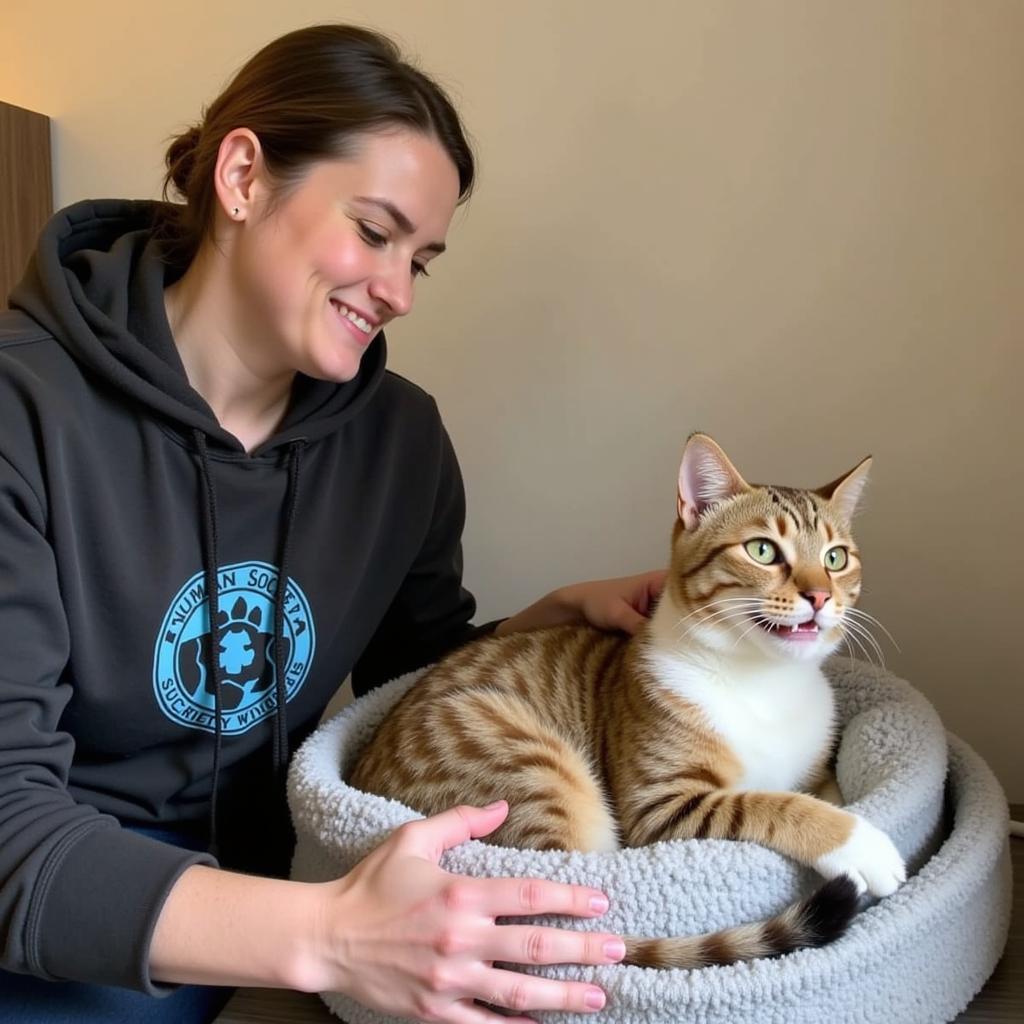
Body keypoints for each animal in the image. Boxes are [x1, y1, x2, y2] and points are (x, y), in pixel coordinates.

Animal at [350, 432, 905, 966]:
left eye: (836, 558)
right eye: (763, 551)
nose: (819, 596)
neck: (764, 679)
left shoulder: (817, 772)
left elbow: (821, 793)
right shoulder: (659, 808)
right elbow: (771, 804)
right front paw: (861, 843)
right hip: (528, 767)